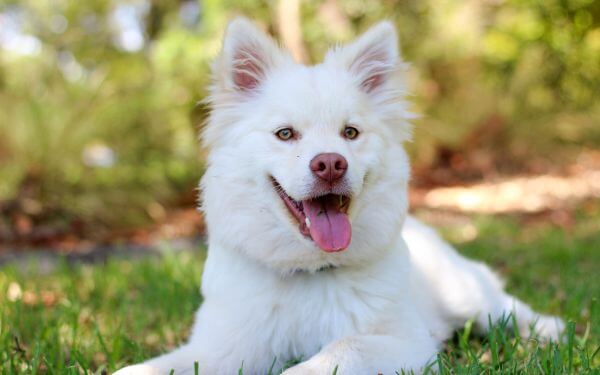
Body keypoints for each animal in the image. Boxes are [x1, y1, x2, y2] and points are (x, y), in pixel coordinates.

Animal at [116, 18, 564, 375]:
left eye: (350, 133)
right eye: (285, 134)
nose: (330, 164)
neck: (309, 272)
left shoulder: (404, 343)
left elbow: (333, 352)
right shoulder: (220, 347)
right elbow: (145, 369)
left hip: (465, 294)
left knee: (506, 307)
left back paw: (551, 329)